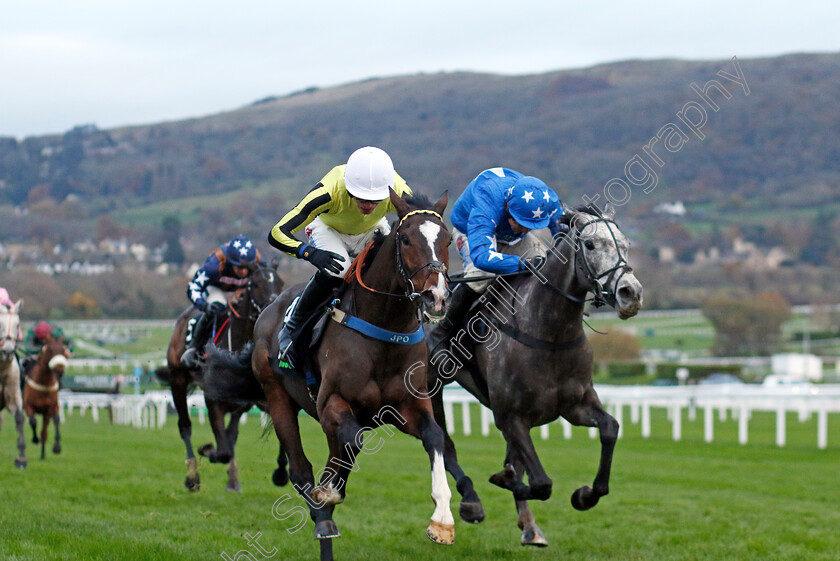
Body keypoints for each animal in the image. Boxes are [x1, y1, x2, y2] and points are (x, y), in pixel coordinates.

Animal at [22, 330, 69, 458]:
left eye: (63, 350)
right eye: (50, 350)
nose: (59, 371)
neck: (44, 382)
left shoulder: (51, 407)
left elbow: (56, 420)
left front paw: (57, 446)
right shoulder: (28, 405)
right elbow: (33, 421)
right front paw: (35, 439)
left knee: (44, 432)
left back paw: (43, 454)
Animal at [157, 262, 286, 490]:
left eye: (280, 282)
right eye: (256, 284)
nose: (274, 307)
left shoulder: (248, 401)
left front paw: (279, 472)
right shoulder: (213, 401)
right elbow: (223, 450)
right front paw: (207, 450)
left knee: (230, 435)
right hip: (177, 380)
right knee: (185, 426)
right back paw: (192, 475)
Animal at [430, 203, 648, 544]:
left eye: (624, 245)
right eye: (590, 245)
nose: (631, 294)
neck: (550, 332)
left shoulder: (574, 405)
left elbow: (610, 429)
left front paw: (585, 495)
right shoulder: (510, 416)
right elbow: (541, 483)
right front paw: (504, 480)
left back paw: (529, 526)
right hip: (432, 384)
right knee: (444, 444)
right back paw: (471, 501)